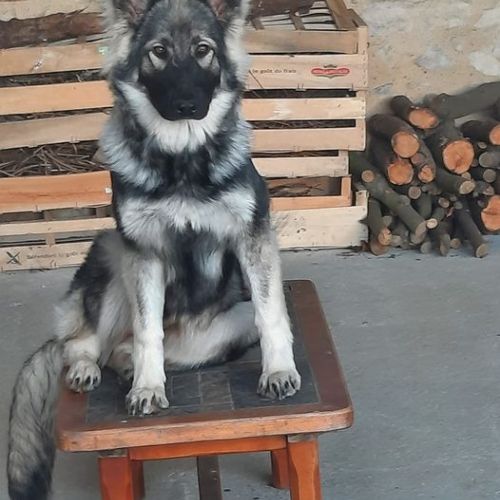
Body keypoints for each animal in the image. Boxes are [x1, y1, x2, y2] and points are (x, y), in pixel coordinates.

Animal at [7, 0, 301, 498]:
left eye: (203, 50)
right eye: (159, 52)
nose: (187, 106)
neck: (181, 159)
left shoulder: (252, 237)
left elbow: (272, 313)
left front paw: (278, 371)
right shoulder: (142, 251)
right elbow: (148, 332)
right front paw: (148, 388)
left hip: (222, 331)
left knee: (126, 347)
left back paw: (126, 365)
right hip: (112, 254)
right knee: (86, 340)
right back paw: (89, 366)